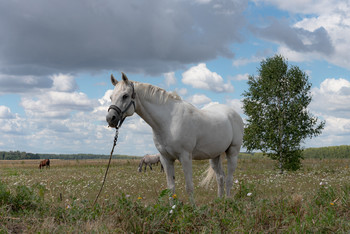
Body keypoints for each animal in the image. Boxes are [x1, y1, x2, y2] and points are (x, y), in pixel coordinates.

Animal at [106, 73, 243, 203]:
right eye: (111, 97)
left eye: (125, 96)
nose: (110, 118)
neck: (169, 121)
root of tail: (234, 114)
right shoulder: (166, 159)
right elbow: (170, 187)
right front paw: (173, 208)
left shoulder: (185, 157)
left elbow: (189, 187)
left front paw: (193, 209)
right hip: (215, 155)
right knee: (220, 177)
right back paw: (219, 201)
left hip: (232, 152)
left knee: (229, 179)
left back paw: (227, 201)